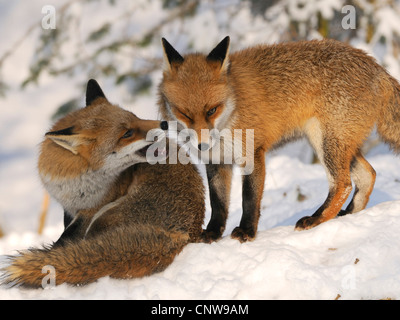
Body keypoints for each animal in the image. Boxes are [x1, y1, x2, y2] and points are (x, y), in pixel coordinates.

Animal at [0, 79, 206, 288]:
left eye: (135, 117)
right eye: (127, 133)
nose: (164, 123)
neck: (78, 182)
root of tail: (185, 234)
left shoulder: (91, 211)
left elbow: (66, 239)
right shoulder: (69, 208)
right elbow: (66, 234)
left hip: (105, 215)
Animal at [158, 37, 400, 242]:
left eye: (211, 110)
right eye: (184, 114)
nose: (203, 145)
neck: (233, 107)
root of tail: (377, 67)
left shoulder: (252, 152)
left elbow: (249, 198)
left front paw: (246, 231)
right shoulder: (217, 160)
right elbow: (218, 204)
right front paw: (212, 233)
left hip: (325, 142)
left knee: (343, 184)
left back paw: (317, 218)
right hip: (337, 144)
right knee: (368, 175)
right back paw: (347, 216)